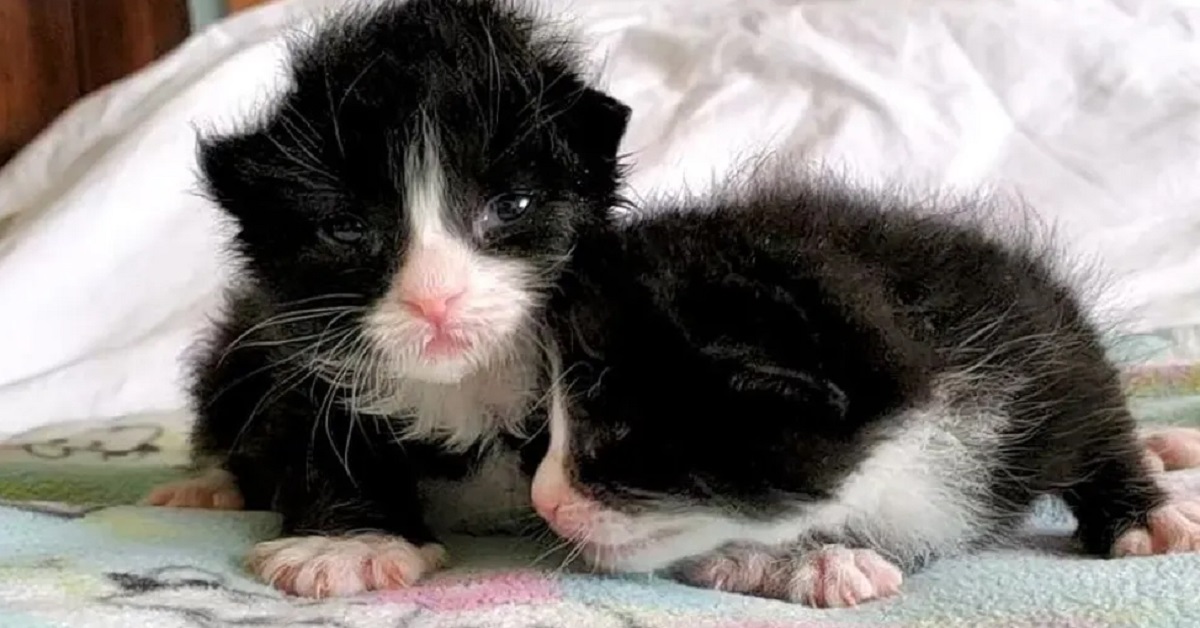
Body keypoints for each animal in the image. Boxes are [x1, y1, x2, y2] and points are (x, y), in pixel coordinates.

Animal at [142, 0, 628, 600]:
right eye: (347, 228)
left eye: (512, 205)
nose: (435, 299)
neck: (461, 390)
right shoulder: (298, 358)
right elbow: (322, 436)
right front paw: (349, 545)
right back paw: (206, 488)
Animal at [530, 174, 1200, 607]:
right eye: (542, 427)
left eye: (623, 434)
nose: (545, 503)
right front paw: (812, 560)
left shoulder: (1031, 318)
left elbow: (1096, 404)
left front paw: (1147, 514)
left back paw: (1166, 449)